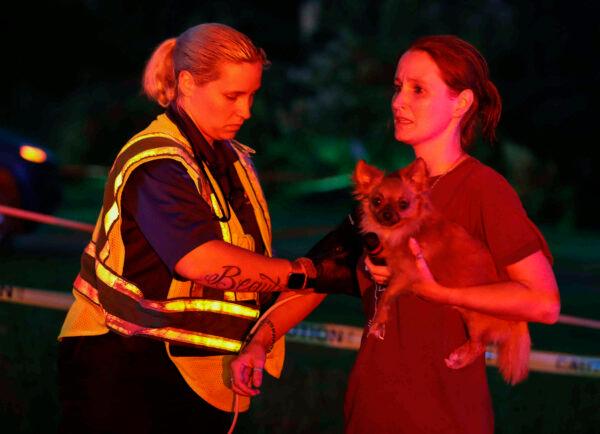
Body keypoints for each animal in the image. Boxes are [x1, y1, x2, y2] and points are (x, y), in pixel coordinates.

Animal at [352, 159, 528, 384]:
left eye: (403, 204)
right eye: (377, 201)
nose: (387, 214)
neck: (401, 232)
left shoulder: (407, 275)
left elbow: (386, 297)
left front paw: (377, 322)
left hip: (475, 318)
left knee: (480, 345)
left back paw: (460, 358)